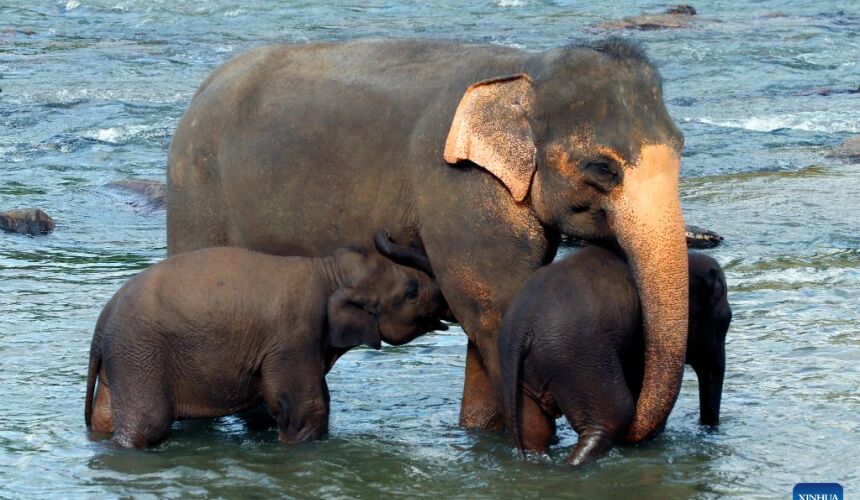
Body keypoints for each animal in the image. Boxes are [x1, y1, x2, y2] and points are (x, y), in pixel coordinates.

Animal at [84, 232, 447, 448]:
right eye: (411, 291)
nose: (385, 232)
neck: (326, 271)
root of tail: (101, 325)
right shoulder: (293, 337)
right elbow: (306, 409)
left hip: (124, 360)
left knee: (105, 417)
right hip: (140, 355)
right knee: (147, 424)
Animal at [167, 38, 689, 441]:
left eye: (682, 148)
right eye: (602, 168)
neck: (528, 69)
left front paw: (481, 436)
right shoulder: (458, 189)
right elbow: (497, 312)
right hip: (195, 196)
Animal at [499, 246, 731, 465]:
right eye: (725, 320)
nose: (707, 428)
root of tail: (523, 328)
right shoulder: (641, 341)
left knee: (534, 430)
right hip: (578, 360)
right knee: (613, 417)